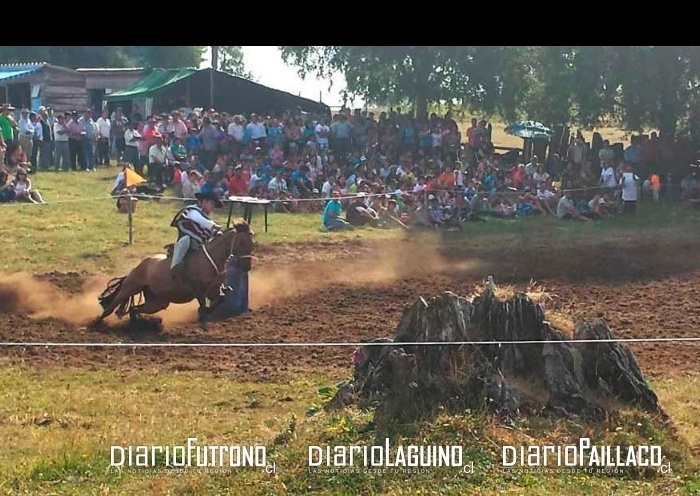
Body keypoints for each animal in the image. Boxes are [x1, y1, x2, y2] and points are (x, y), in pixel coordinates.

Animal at [93, 221, 254, 330]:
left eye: (252, 243)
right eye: (241, 242)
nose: (246, 266)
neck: (211, 258)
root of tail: (139, 265)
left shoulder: (214, 290)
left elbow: (221, 298)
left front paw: (207, 312)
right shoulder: (199, 290)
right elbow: (203, 303)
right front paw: (203, 315)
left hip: (157, 302)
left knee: (134, 309)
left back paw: (136, 326)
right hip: (130, 288)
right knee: (109, 308)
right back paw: (96, 324)